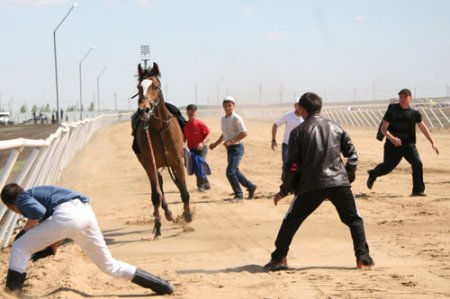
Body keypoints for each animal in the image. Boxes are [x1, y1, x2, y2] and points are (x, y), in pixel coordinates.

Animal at [133, 61, 191, 239]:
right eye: (139, 87)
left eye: (156, 86)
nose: (144, 110)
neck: (159, 130)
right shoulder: (150, 164)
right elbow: (155, 196)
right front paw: (157, 228)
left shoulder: (178, 161)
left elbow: (184, 191)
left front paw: (188, 216)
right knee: (159, 186)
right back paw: (168, 214)